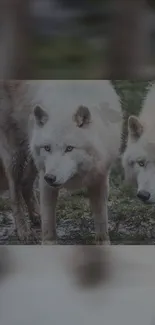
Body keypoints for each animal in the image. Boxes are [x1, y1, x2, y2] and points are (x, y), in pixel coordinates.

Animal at [0, 81, 122, 243]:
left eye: (69, 148)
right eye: (47, 147)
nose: (51, 177)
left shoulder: (99, 177)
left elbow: (102, 220)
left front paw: (103, 243)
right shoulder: (45, 181)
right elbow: (48, 226)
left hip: (34, 160)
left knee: (25, 185)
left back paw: (36, 216)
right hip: (16, 157)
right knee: (14, 194)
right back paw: (24, 231)